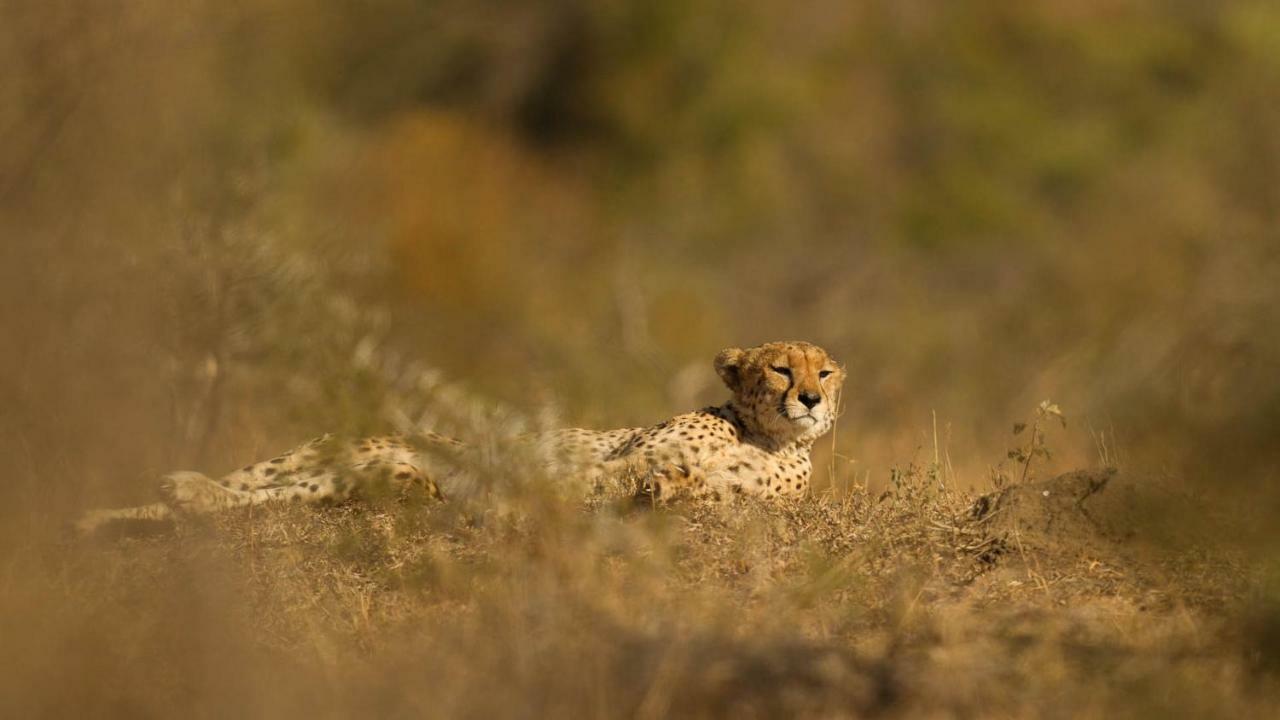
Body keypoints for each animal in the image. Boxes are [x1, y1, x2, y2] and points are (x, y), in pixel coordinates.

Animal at [77, 338, 839, 530]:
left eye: (825, 371)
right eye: (781, 367)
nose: (809, 398)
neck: (763, 436)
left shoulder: (740, 495)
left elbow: (693, 489)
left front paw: (664, 493)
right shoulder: (617, 455)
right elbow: (591, 473)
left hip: (345, 481)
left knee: (256, 501)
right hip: (333, 451)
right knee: (247, 482)